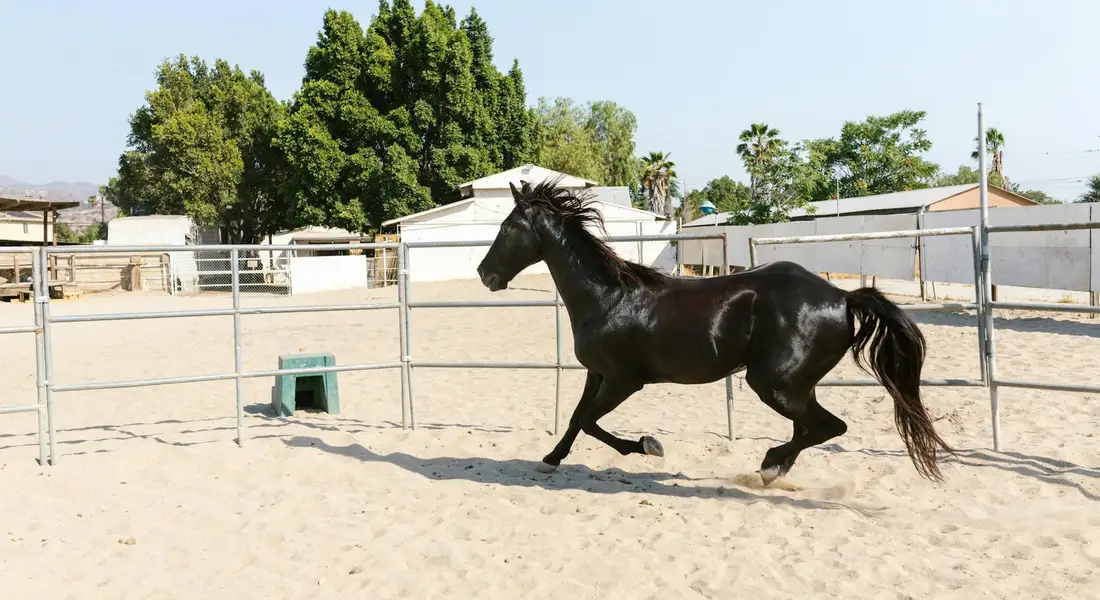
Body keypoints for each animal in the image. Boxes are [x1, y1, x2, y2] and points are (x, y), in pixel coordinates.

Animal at [475, 178, 956, 485]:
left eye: (507, 227)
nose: (485, 274)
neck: (607, 298)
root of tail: (841, 297)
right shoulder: (598, 374)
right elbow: (577, 418)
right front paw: (549, 460)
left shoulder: (624, 380)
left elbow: (592, 421)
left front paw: (649, 446)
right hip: (795, 386)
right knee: (811, 429)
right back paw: (773, 468)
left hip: (773, 383)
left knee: (828, 428)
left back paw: (768, 467)